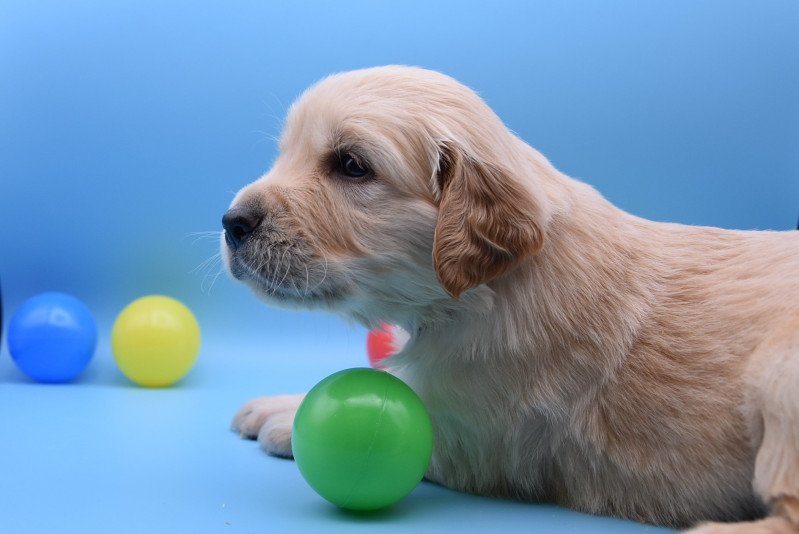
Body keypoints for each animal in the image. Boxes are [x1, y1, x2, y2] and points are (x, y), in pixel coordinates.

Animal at [223, 66, 799, 532]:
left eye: (351, 165)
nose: (231, 222)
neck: (477, 294)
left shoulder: (472, 432)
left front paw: (283, 414)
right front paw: (279, 403)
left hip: (779, 373)